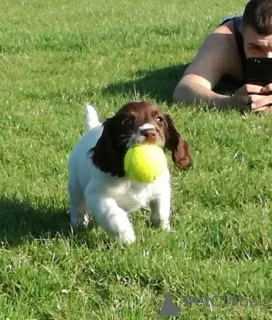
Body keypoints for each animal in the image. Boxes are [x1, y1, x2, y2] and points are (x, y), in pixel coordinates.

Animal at [67, 101, 191, 244]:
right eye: (128, 122)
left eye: (159, 119)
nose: (149, 132)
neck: (131, 179)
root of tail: (93, 127)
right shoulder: (97, 195)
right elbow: (113, 214)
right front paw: (127, 236)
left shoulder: (162, 188)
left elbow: (161, 211)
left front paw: (163, 230)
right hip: (75, 184)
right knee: (78, 205)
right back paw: (79, 224)